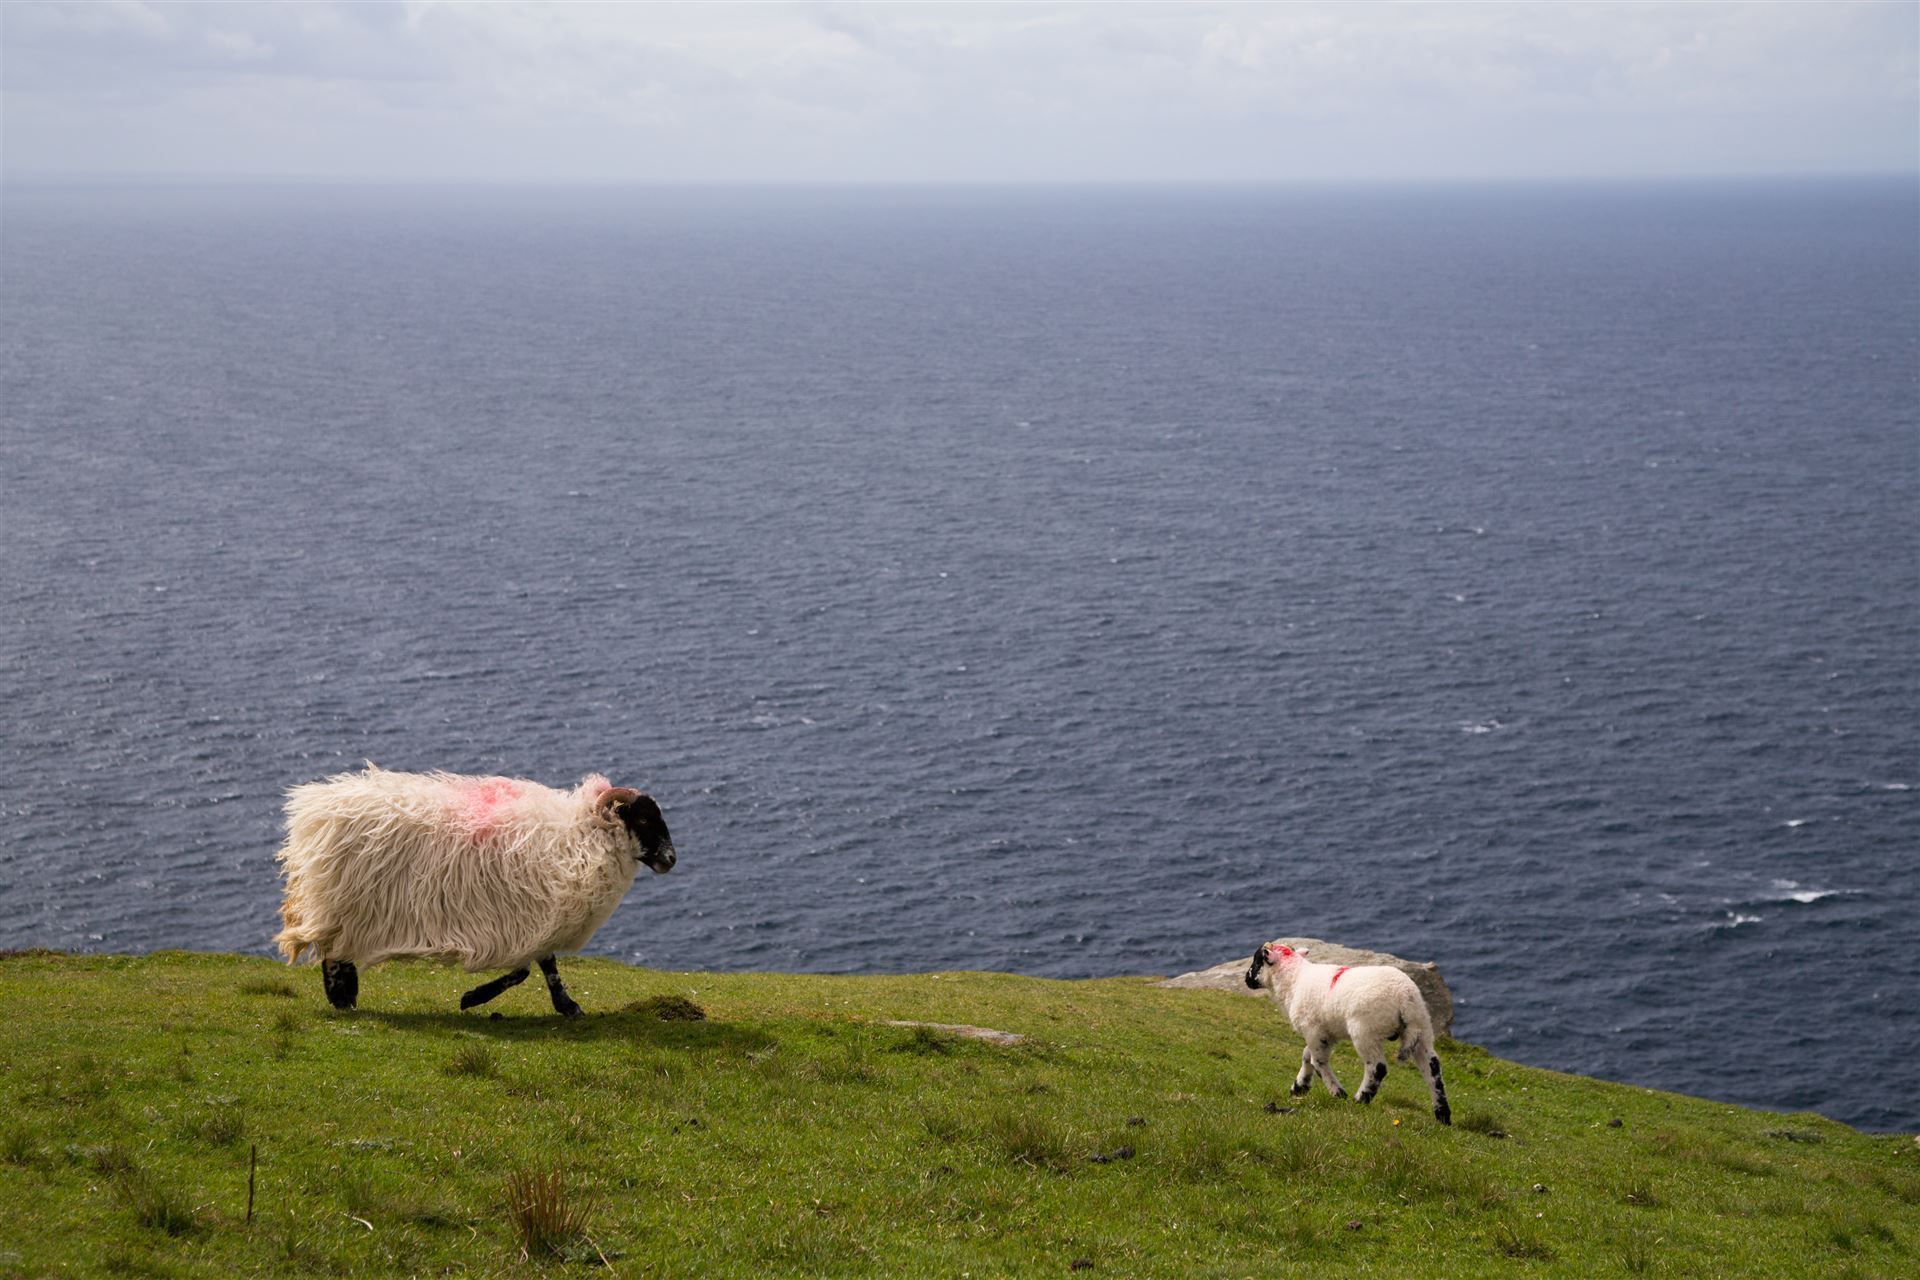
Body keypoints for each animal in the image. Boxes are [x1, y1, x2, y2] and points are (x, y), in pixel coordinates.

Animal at [273, 765, 675, 1017]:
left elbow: (541, 968)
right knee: (333, 949)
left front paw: (564, 1005)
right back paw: (341, 994)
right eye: (642, 818)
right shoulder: (524, 919)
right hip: (343, 900)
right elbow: (528, 971)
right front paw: (474, 998)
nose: (671, 859)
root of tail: (316, 808)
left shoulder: (534, 920)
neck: (580, 836)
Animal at [1245, 940, 1451, 1125]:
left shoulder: (1313, 1029)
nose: (1246, 979)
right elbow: (1306, 1056)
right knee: (1432, 1068)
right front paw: (1299, 1087)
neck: (1293, 980)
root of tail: (1404, 996)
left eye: (1257, 961)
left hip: (1365, 1031)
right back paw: (1442, 1115)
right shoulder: (1325, 1032)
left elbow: (1317, 1061)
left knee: (1377, 1067)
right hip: (1422, 1026)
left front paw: (1337, 1093)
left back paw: (1360, 1099)